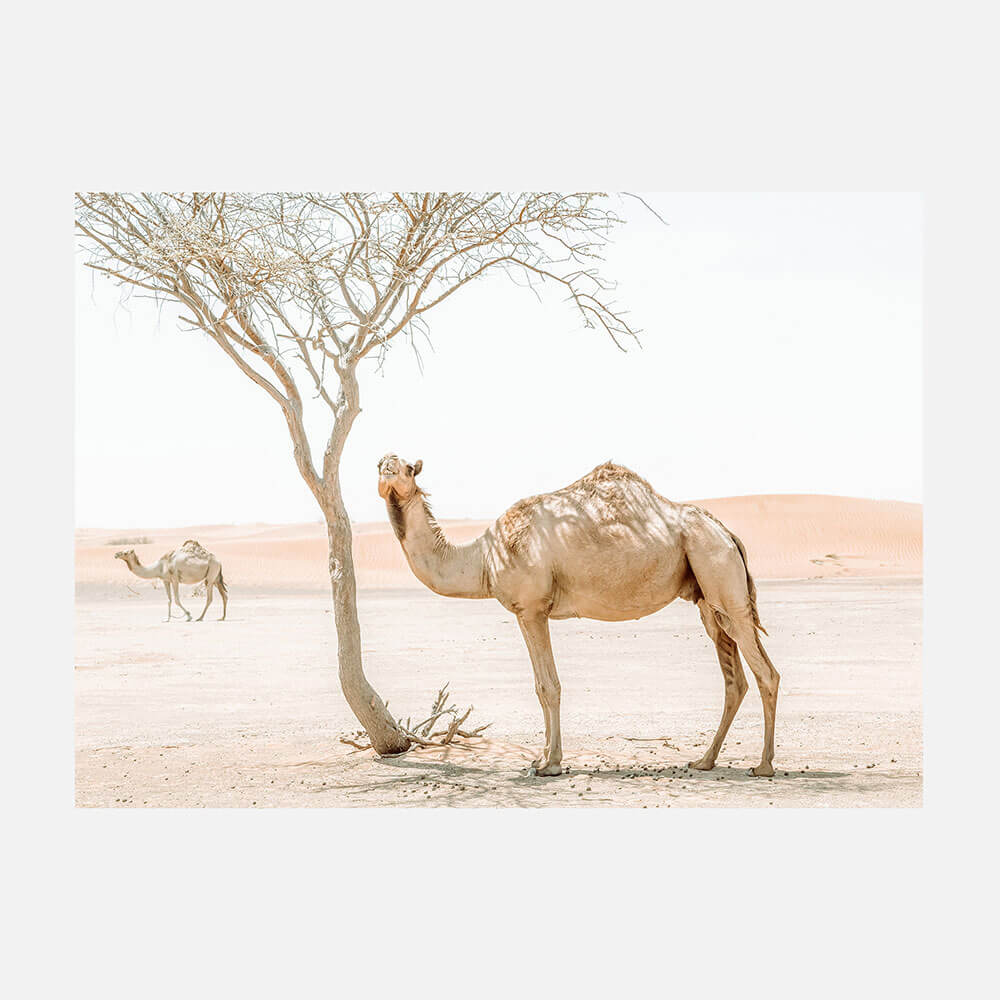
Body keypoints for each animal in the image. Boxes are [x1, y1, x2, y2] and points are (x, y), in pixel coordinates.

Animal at [377, 455, 780, 778]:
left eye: (405, 467)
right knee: (734, 678)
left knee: (766, 673)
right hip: (708, 595)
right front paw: (541, 758)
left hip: (719, 571)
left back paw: (763, 765)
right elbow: (540, 686)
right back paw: (705, 761)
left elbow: (549, 686)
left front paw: (550, 764)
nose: (386, 469)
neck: (484, 557)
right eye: (380, 463)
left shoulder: (533, 608)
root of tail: (728, 534)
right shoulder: (525, 612)